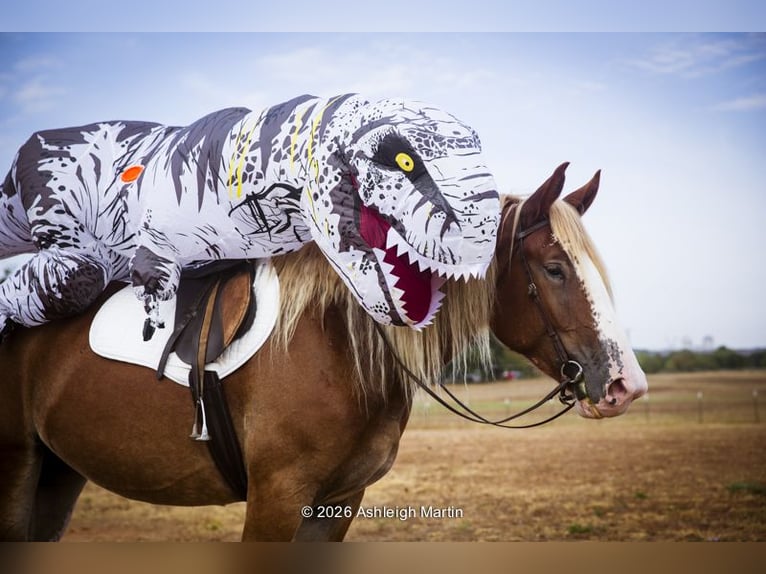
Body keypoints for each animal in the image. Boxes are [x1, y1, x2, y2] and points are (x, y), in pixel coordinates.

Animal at [0, 163, 647, 541]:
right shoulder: (277, 499)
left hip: (58, 473)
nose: (627, 386)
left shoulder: (337, 503)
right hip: (19, 471)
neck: (334, 343)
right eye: (556, 269)